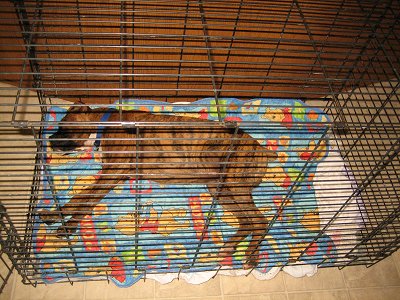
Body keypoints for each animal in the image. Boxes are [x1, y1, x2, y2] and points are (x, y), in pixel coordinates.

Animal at [39, 104, 278, 268]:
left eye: (62, 126)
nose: (48, 141)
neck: (104, 124)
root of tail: (262, 149)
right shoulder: (114, 176)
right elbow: (87, 202)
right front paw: (67, 224)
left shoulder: (112, 171)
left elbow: (80, 198)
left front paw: (56, 217)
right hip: (220, 188)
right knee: (247, 221)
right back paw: (231, 246)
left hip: (233, 184)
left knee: (260, 221)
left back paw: (251, 255)